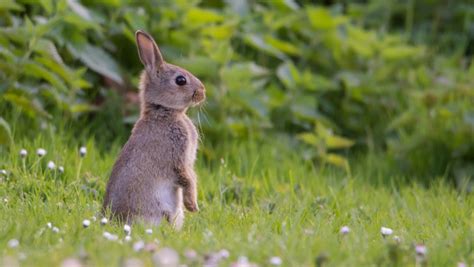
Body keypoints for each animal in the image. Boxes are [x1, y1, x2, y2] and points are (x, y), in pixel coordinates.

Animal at [103, 29, 206, 230]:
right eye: (180, 80)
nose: (202, 92)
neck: (164, 112)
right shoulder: (178, 158)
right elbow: (187, 179)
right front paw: (193, 206)